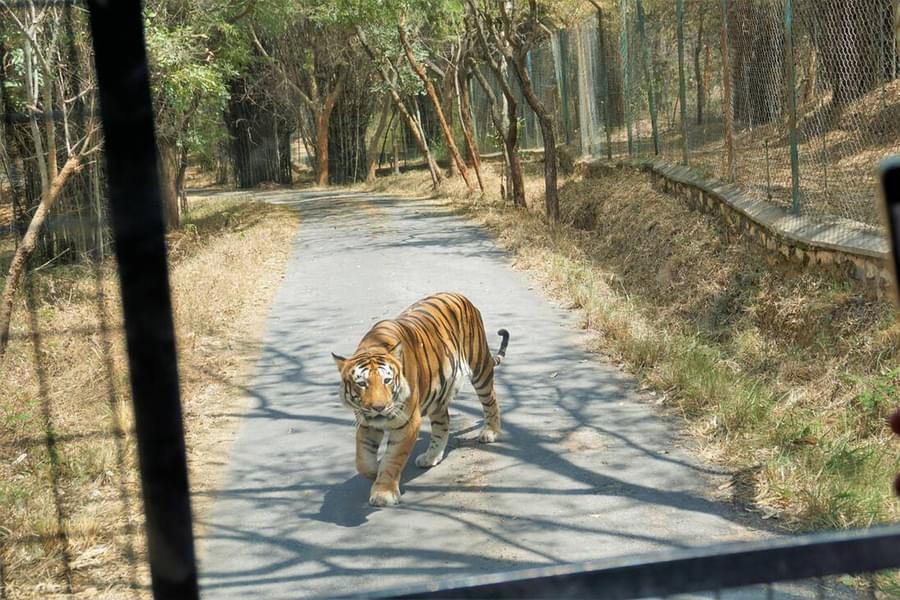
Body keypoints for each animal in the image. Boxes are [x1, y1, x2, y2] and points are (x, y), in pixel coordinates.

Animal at [334, 292, 510, 506]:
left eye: (387, 380)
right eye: (362, 383)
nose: (379, 407)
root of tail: (461, 296)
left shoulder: (407, 422)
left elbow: (393, 458)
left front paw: (383, 492)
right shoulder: (366, 422)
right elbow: (362, 461)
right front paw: (375, 471)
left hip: (479, 367)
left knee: (490, 401)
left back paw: (490, 432)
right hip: (438, 394)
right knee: (443, 423)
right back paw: (431, 456)